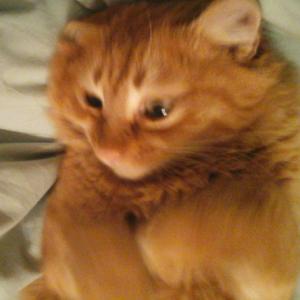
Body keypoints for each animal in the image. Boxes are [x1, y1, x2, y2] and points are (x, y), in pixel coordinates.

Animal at [21, 0, 300, 300]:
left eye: (158, 111)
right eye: (93, 101)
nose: (108, 152)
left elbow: (240, 212)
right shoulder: (73, 210)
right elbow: (105, 270)